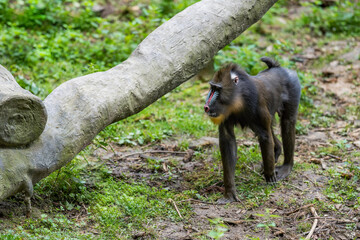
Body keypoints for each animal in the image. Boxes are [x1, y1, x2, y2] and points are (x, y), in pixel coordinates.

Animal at [204, 57, 300, 203]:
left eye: (218, 89)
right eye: (212, 88)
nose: (207, 106)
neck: (239, 99)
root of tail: (277, 68)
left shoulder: (258, 107)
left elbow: (265, 136)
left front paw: (270, 176)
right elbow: (228, 140)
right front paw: (229, 193)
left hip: (293, 90)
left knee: (287, 122)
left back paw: (286, 166)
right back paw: (277, 150)